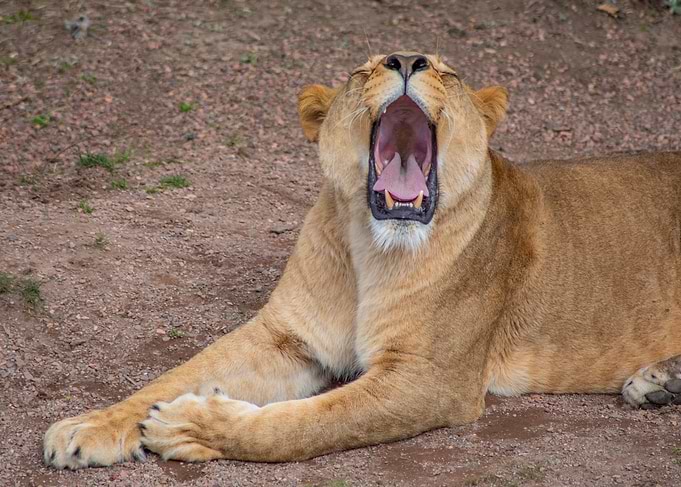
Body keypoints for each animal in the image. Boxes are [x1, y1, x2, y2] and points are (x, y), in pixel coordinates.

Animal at [44, 51, 681, 469]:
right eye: (366, 68)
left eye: (447, 71)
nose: (409, 60)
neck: (370, 250)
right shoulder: (286, 337)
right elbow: (180, 372)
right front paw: (89, 426)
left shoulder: (430, 379)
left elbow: (310, 423)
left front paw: (189, 423)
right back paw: (658, 382)